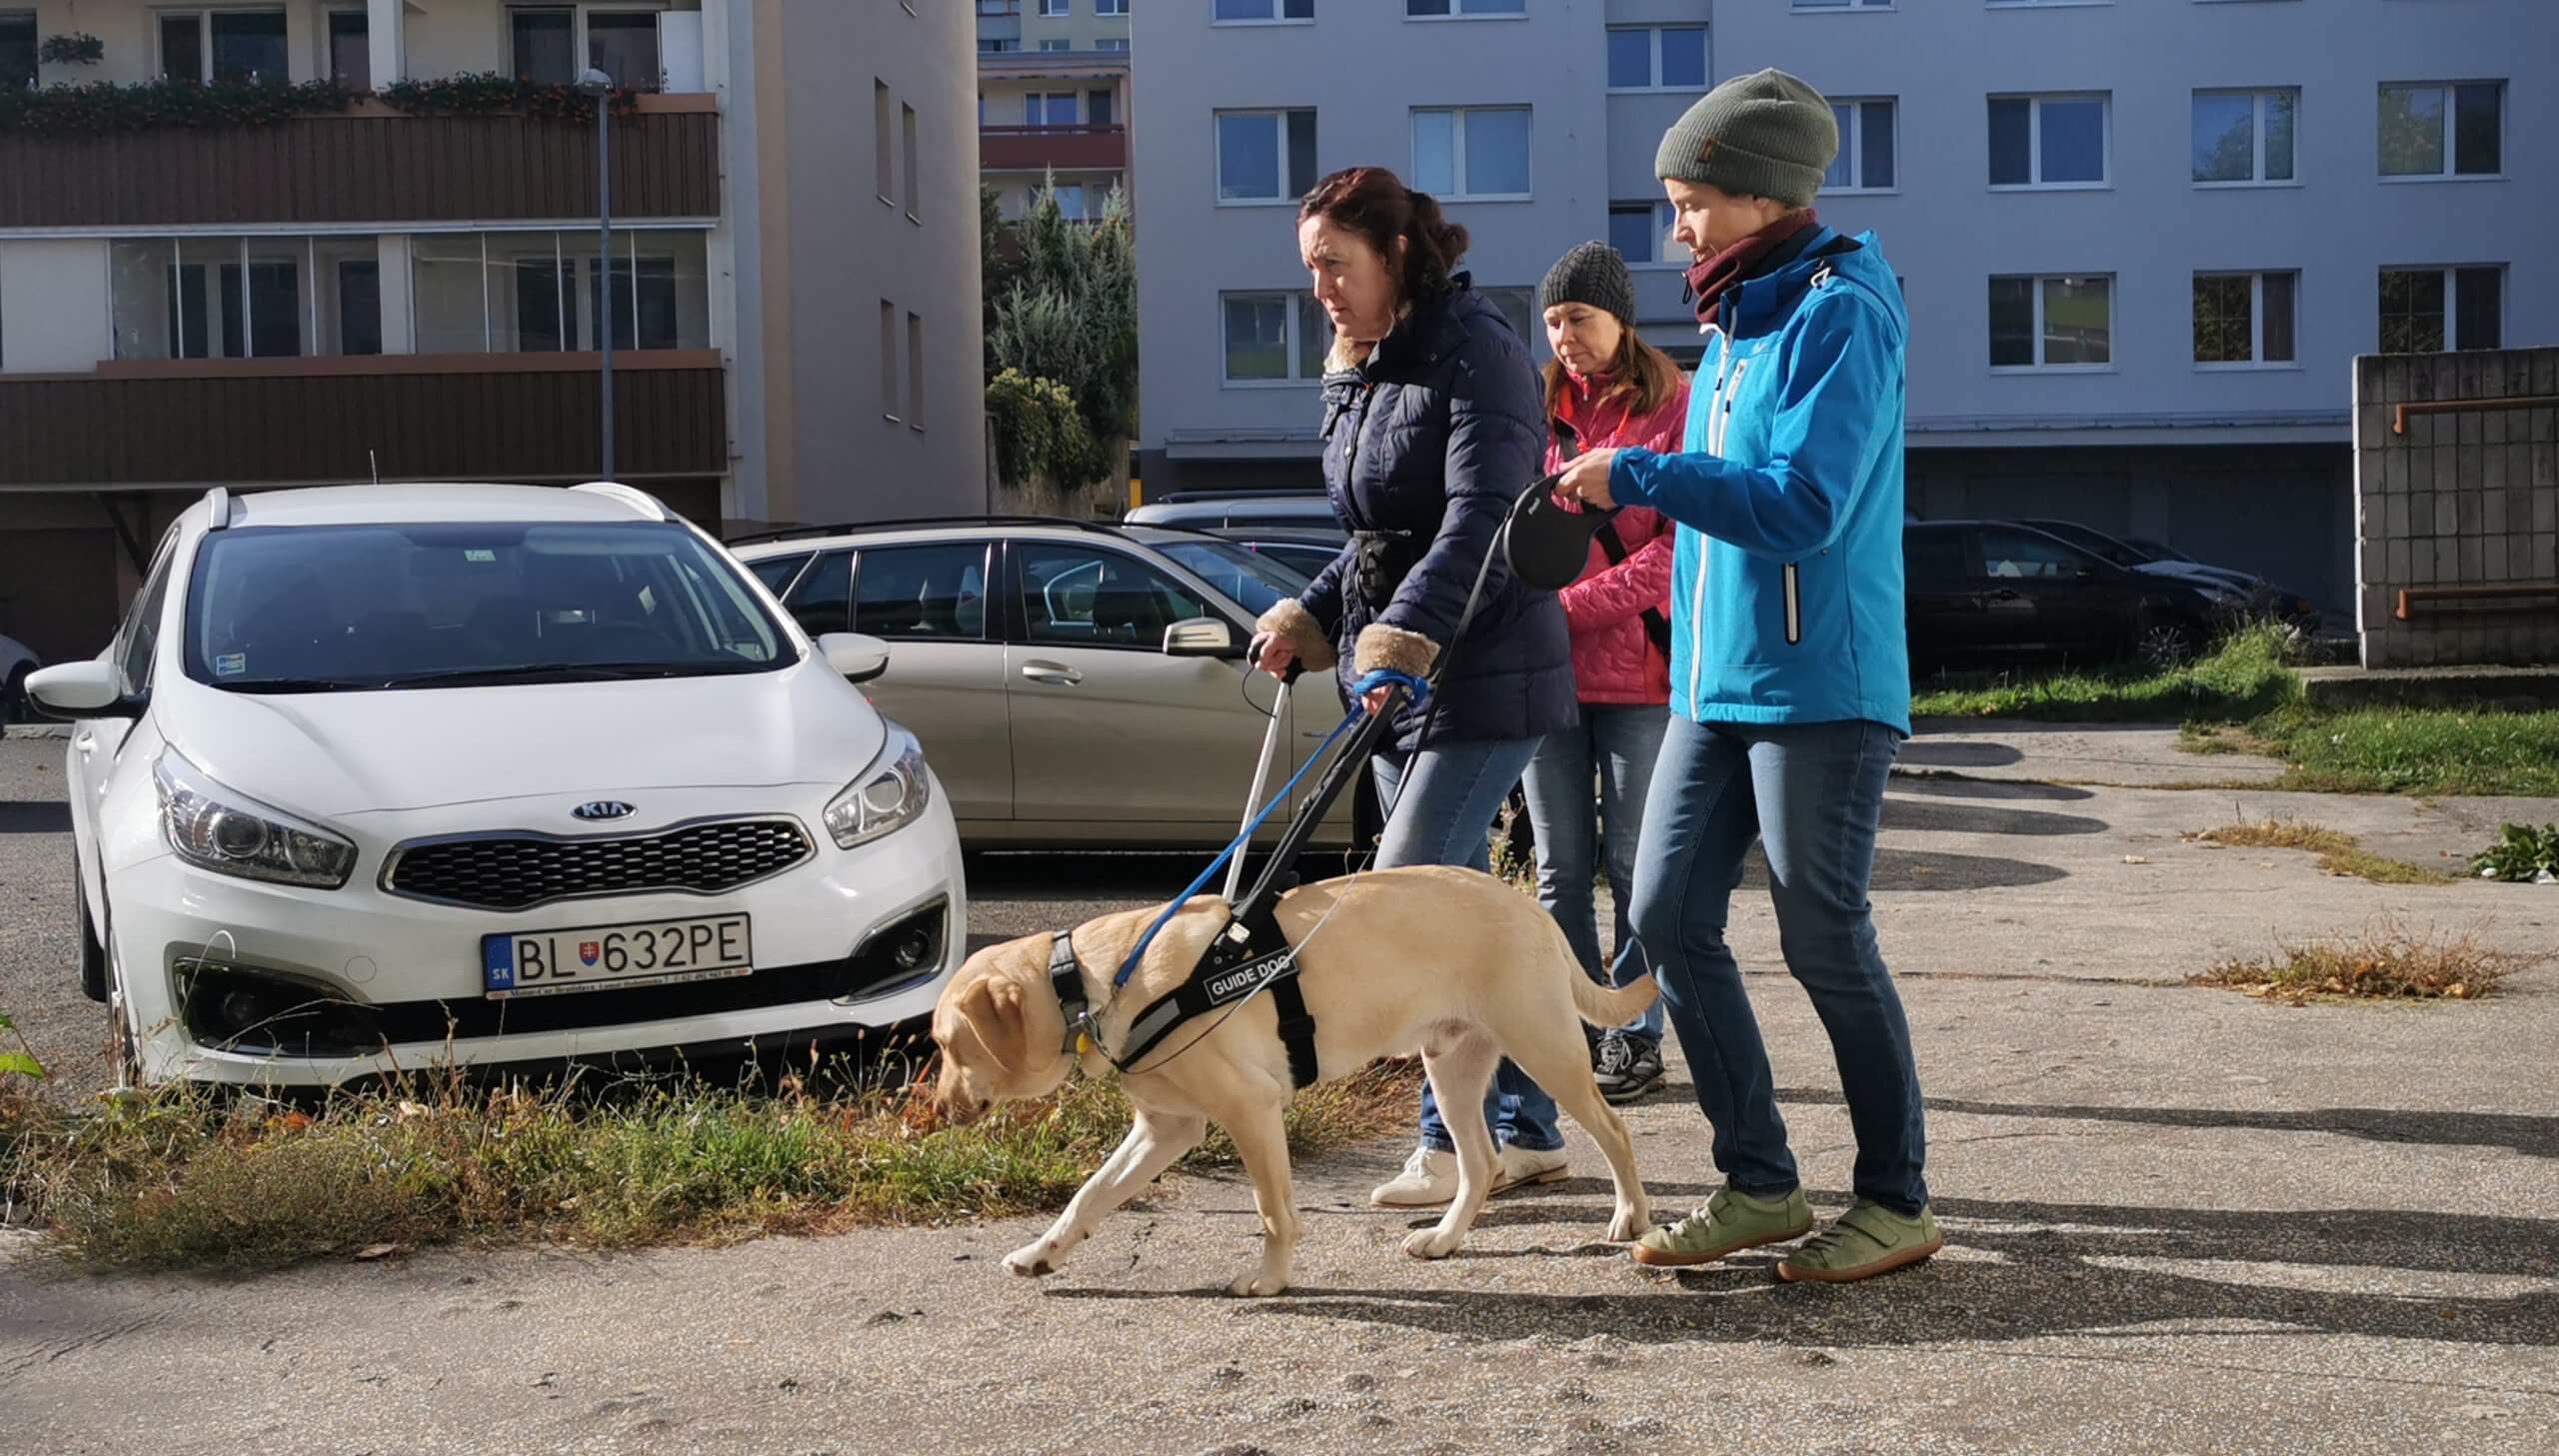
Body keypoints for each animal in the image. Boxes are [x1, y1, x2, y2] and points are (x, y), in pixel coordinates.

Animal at [931, 864, 1647, 1294]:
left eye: (945, 1044)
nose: (935, 1111)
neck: (1096, 983)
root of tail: (1529, 906)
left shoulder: (1250, 1108)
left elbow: (1273, 1211)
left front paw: (1269, 1282)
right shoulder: (1166, 1128)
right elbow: (1089, 1195)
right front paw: (1042, 1252)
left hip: (1544, 1047)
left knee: (1613, 1133)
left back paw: (1630, 1217)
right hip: (1451, 1066)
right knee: (1480, 1163)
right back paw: (1443, 1239)